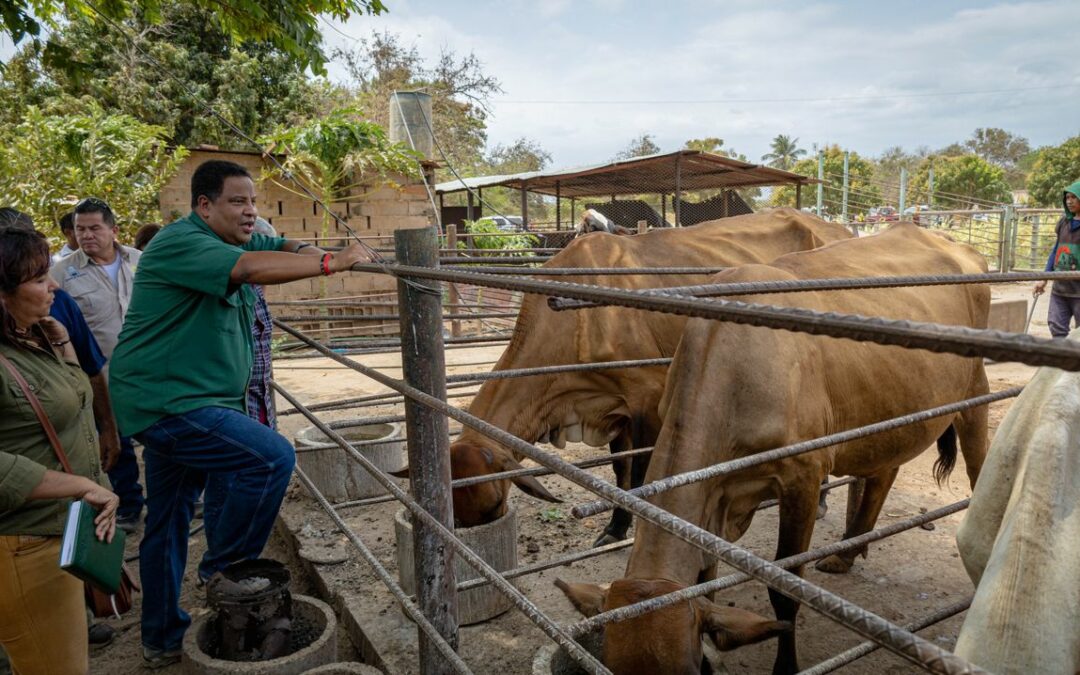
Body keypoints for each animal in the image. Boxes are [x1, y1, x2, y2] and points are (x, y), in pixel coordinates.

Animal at [438, 206, 851, 542]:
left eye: (493, 505)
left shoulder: (646, 399)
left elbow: (637, 474)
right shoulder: (613, 407)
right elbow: (620, 470)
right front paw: (615, 528)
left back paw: (823, 500)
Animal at [561, 223, 989, 669]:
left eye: (692, 668)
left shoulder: (802, 477)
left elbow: (785, 590)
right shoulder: (717, 494)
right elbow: (706, 576)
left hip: (975, 392)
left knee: (979, 465)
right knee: (884, 472)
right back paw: (846, 553)